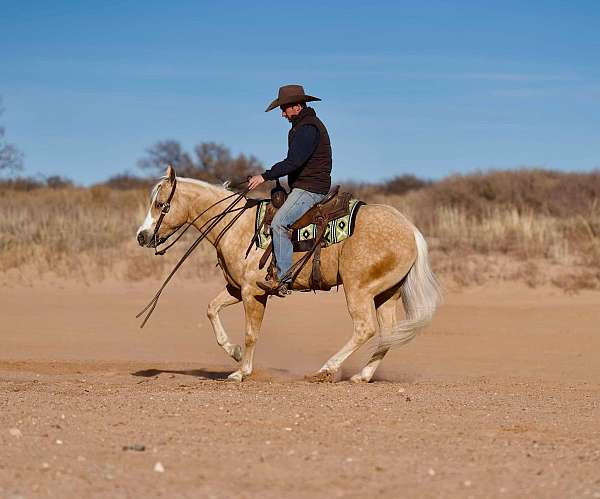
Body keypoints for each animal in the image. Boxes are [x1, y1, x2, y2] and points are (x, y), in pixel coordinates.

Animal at [138, 167, 442, 382]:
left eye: (161, 204)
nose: (142, 236)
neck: (237, 226)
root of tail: (410, 229)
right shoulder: (237, 289)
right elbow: (211, 310)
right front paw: (234, 353)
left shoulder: (253, 292)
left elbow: (251, 333)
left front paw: (241, 372)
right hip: (386, 293)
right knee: (388, 332)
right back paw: (362, 376)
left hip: (359, 289)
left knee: (364, 328)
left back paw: (325, 370)